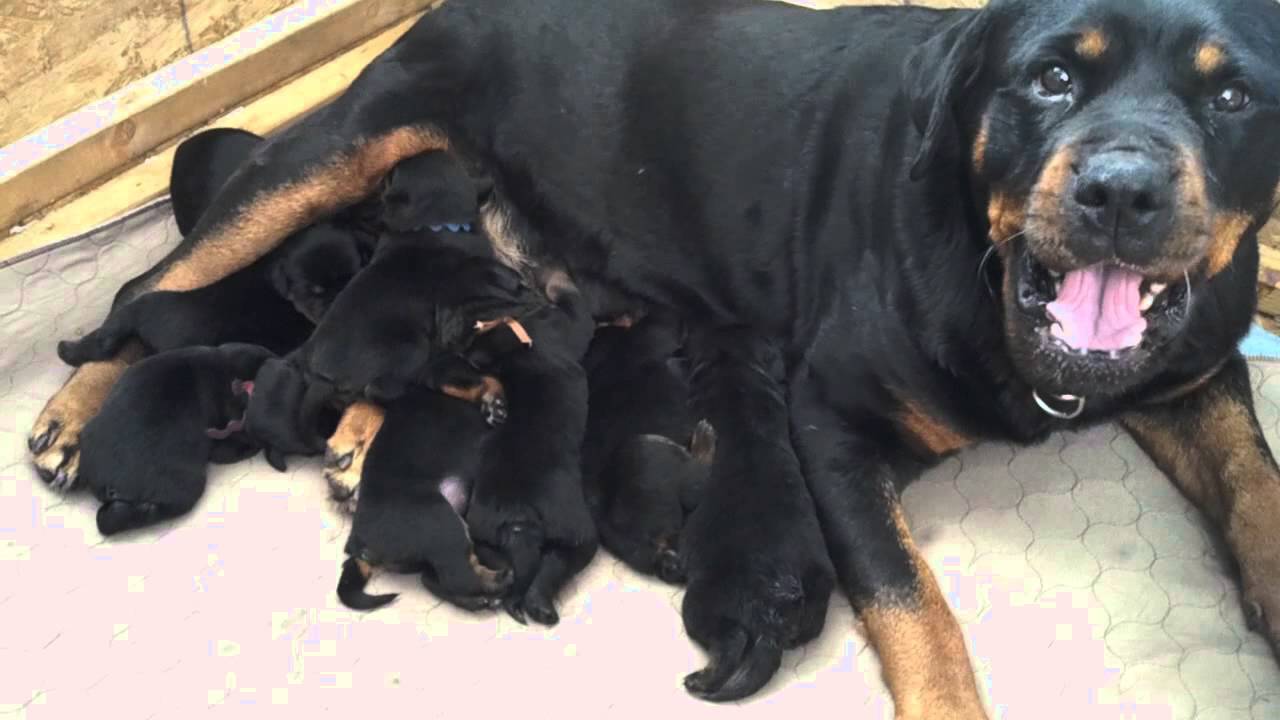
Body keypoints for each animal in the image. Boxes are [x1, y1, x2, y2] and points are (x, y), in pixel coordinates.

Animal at [340, 368, 519, 609]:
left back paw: (480, 599)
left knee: (434, 578)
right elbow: (485, 380)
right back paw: (499, 581)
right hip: (441, 520)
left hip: (428, 551)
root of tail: (358, 542)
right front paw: (496, 402)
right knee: (460, 576)